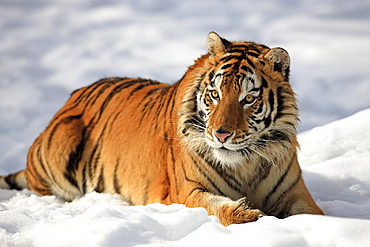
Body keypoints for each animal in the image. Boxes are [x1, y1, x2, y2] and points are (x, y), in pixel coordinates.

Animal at [0, 32, 322, 226]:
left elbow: (313, 214)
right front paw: (247, 215)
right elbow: (216, 205)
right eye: (215, 94)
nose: (221, 134)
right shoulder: (187, 191)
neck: (245, 165)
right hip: (61, 148)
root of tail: (70, 99)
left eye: (248, 99)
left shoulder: (296, 193)